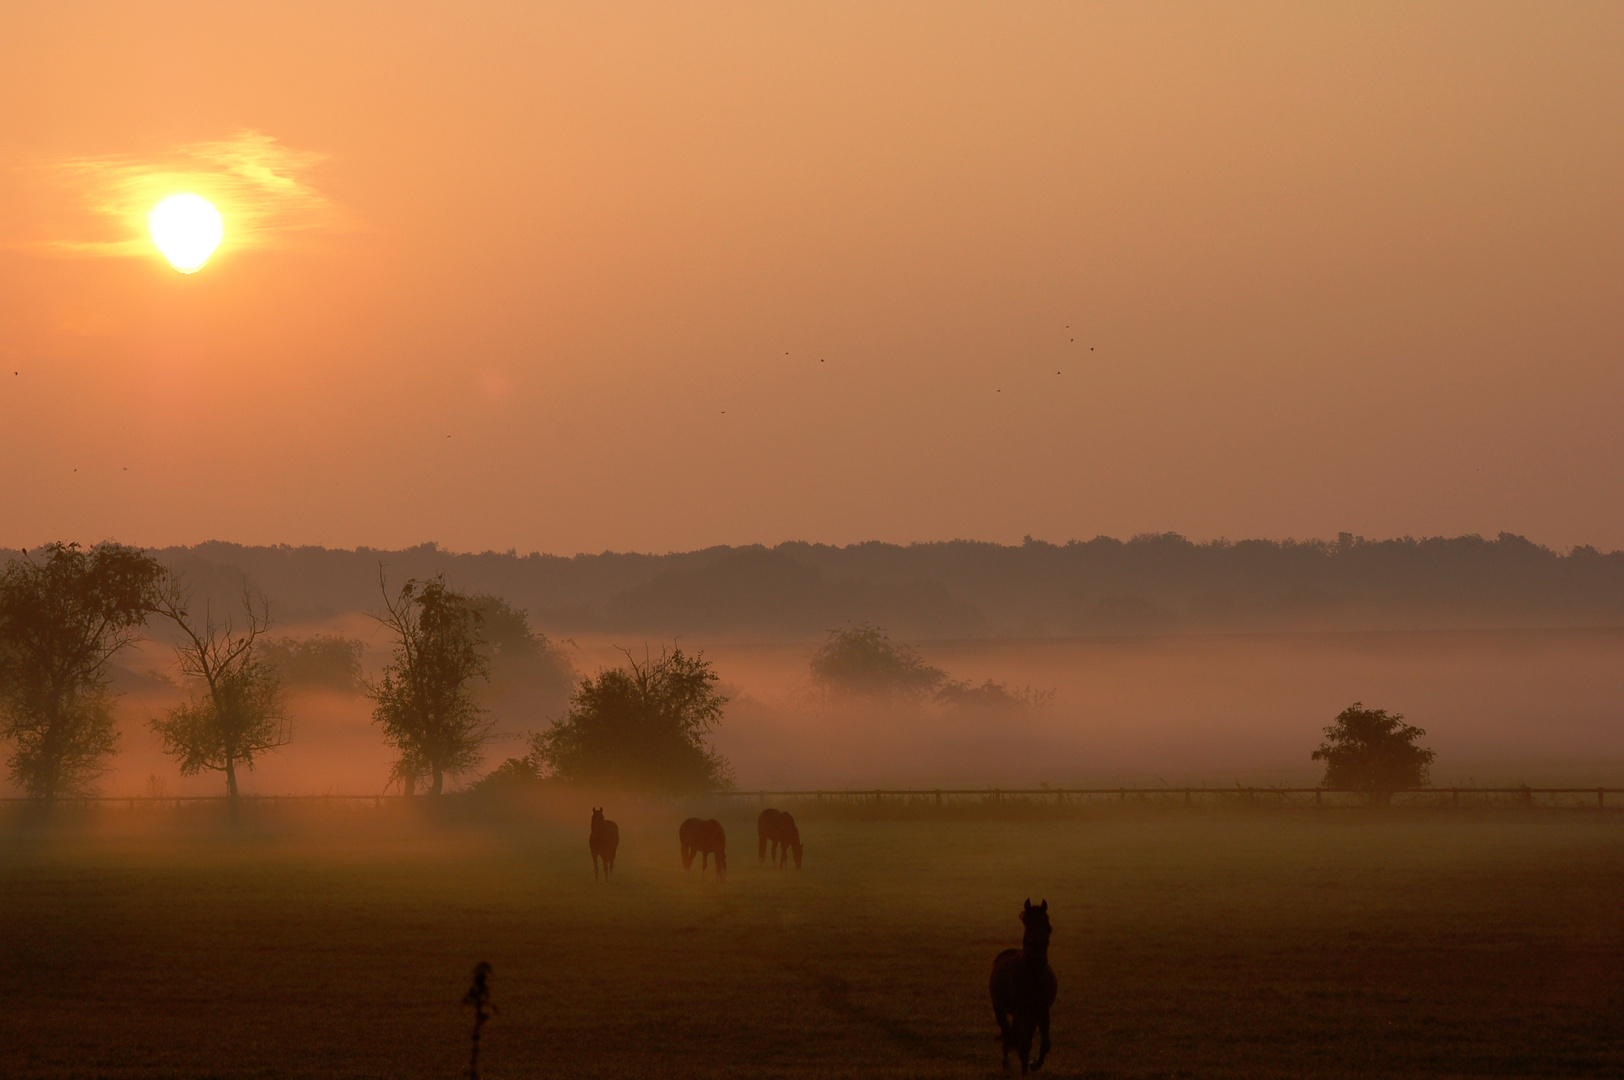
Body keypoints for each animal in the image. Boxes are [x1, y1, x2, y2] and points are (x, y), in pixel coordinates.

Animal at [980, 896, 1058, 1065]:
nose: (1034, 946)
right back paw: (1006, 1061)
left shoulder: (1042, 1011)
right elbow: (1020, 1041)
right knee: (1006, 1031)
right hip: (1000, 1009)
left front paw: (1034, 1064)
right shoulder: (1020, 1011)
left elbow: (1044, 1043)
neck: (1032, 976)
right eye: (1027, 922)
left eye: (1047, 924)